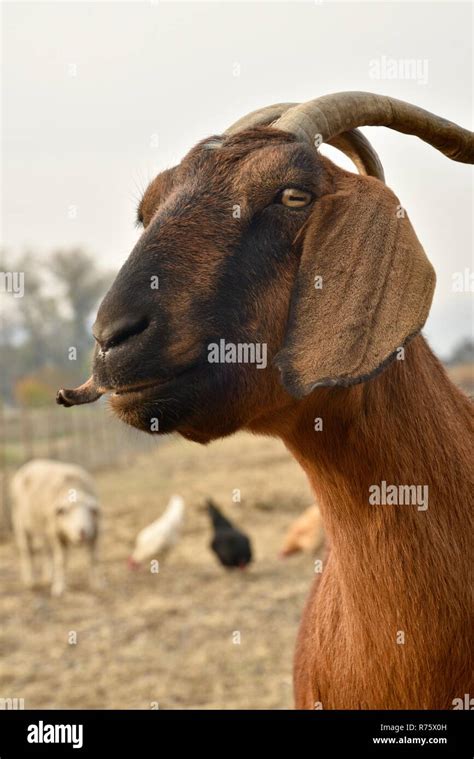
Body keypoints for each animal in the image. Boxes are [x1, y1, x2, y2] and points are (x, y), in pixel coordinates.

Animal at [9, 460, 100, 596]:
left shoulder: (95, 532)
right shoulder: (56, 534)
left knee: (45, 551)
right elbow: (61, 561)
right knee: (27, 551)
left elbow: (93, 558)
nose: (82, 531)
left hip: (43, 529)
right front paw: (59, 589)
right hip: (20, 524)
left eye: (89, 511)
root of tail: (30, 464)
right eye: (67, 512)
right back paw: (30, 581)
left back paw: (47, 577)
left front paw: (98, 584)